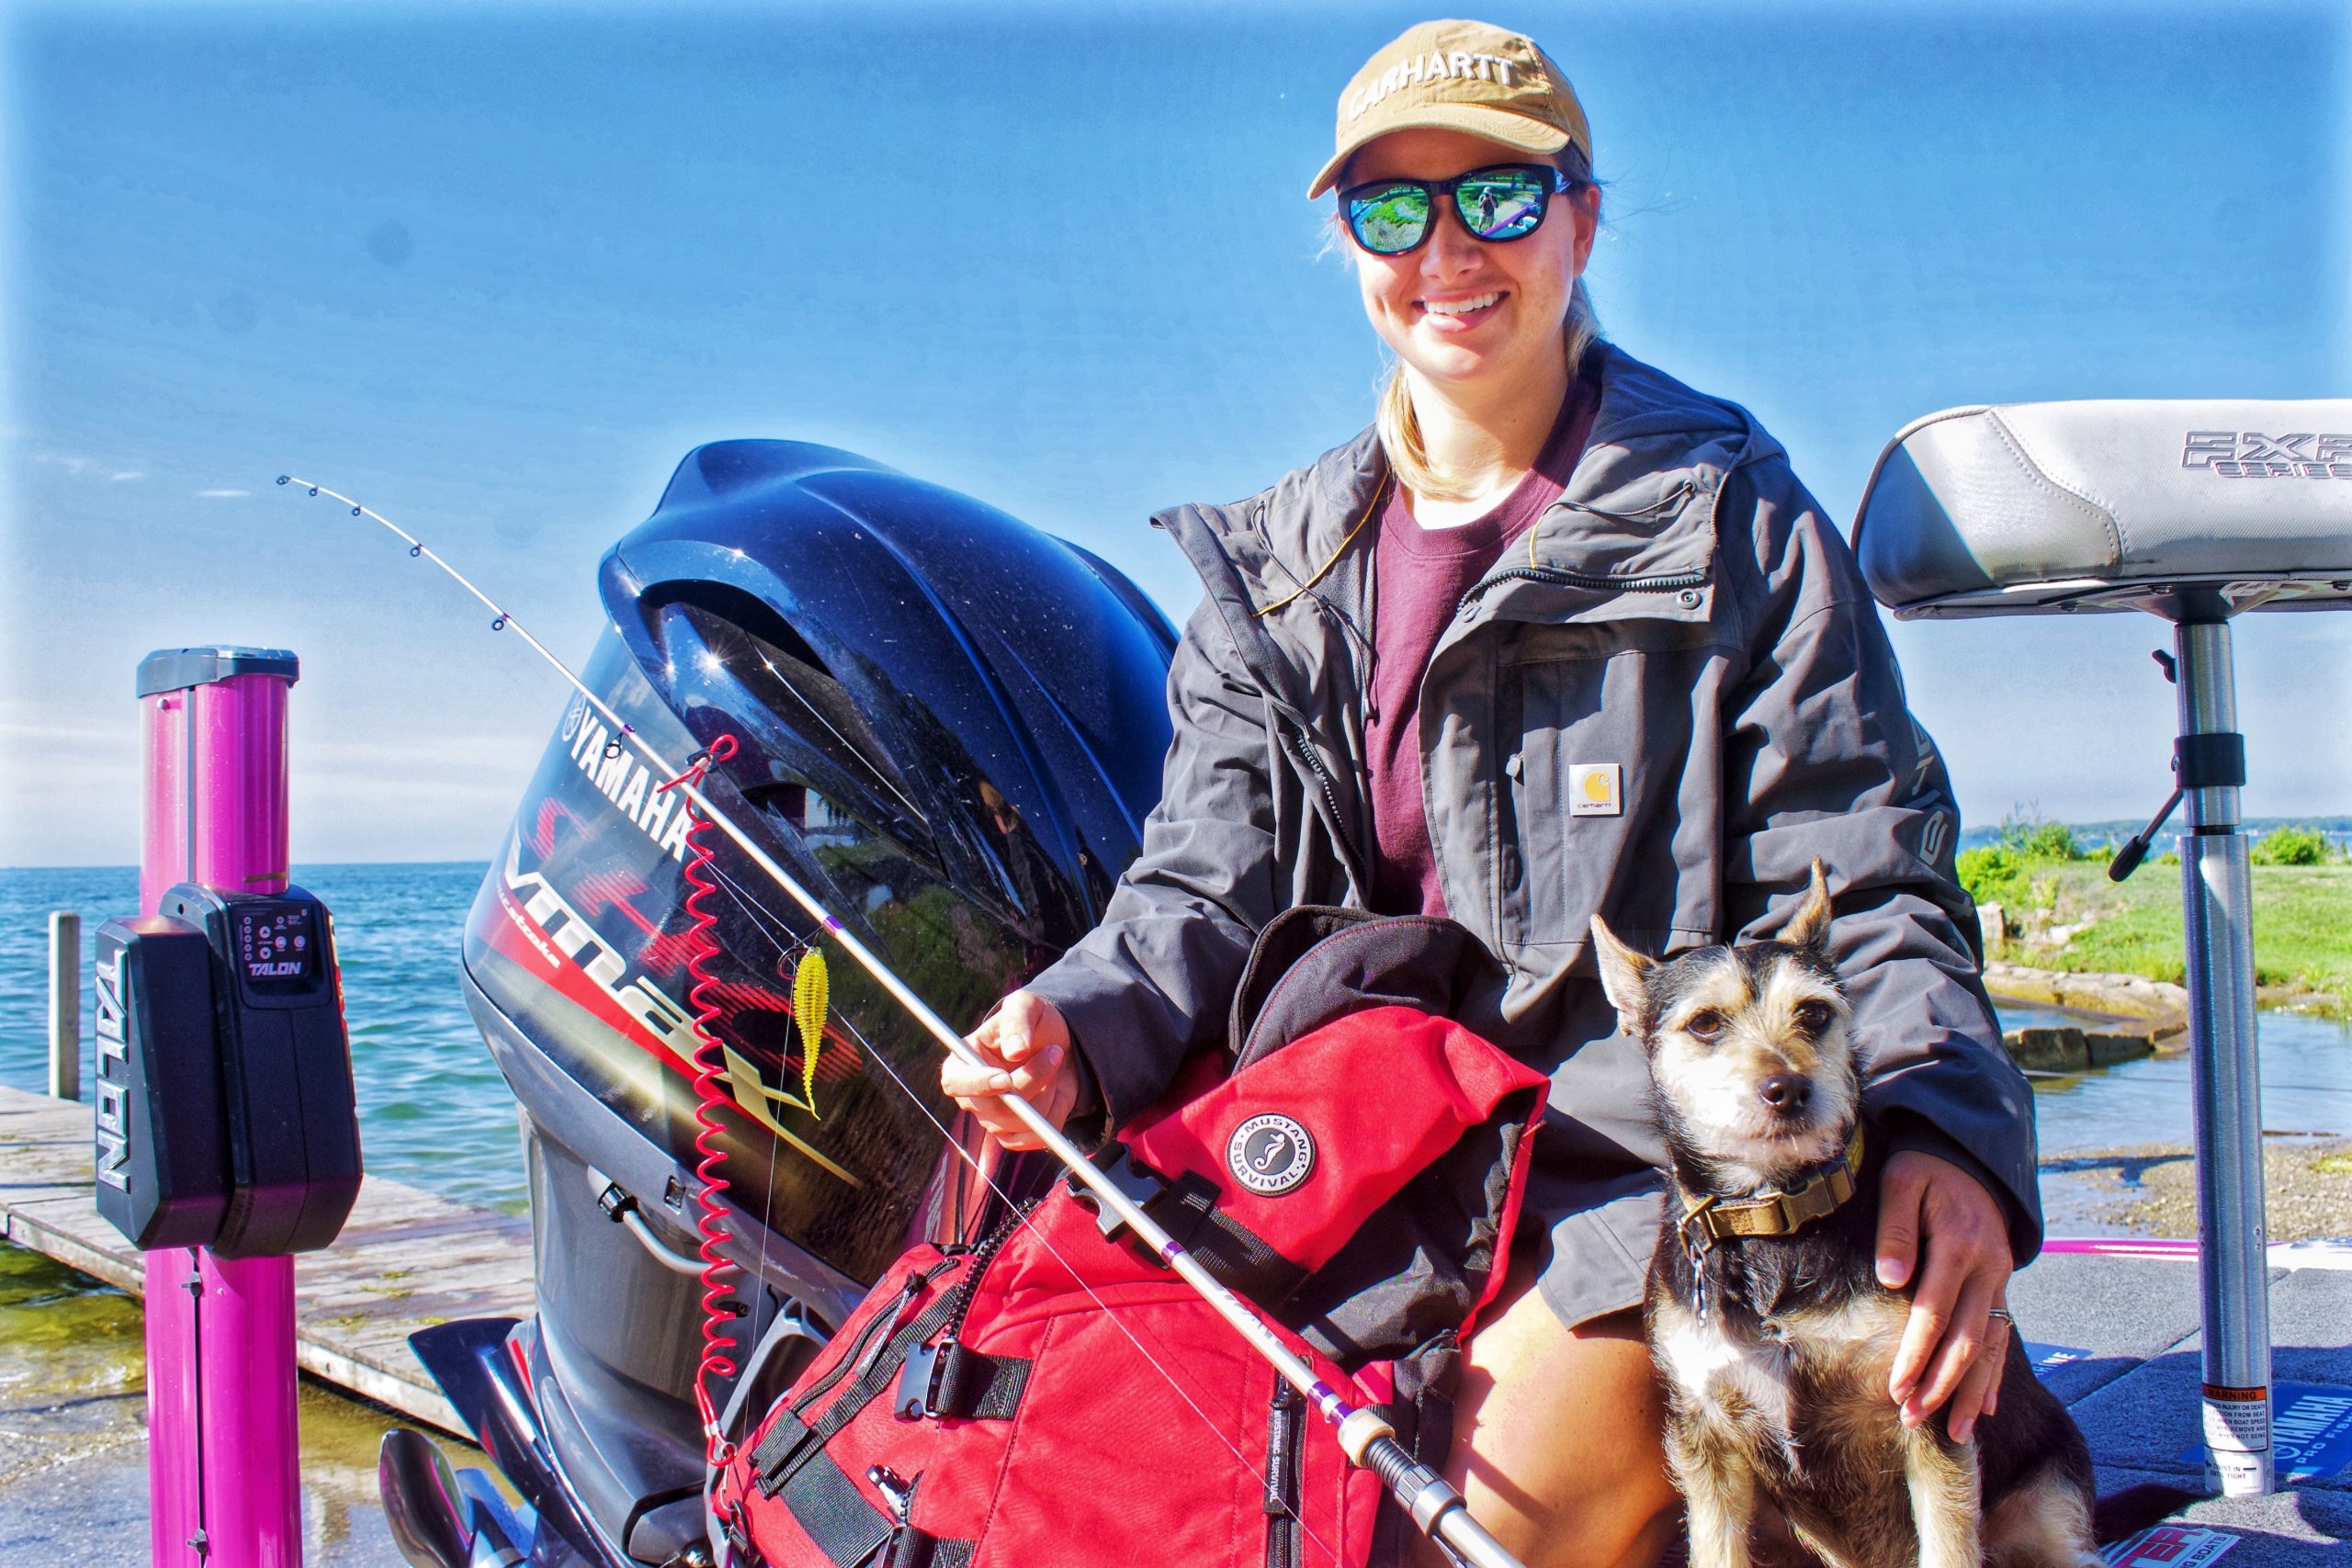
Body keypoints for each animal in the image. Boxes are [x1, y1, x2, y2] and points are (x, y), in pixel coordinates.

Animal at [1590, 862, 2113, 1568]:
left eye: (1814, 1013)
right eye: (1704, 1024)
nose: (1788, 1088)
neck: (1776, 1223)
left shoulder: (1928, 1409)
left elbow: (1948, 1544)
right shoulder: (1707, 1435)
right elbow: (1716, 1545)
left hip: (2049, 1507)